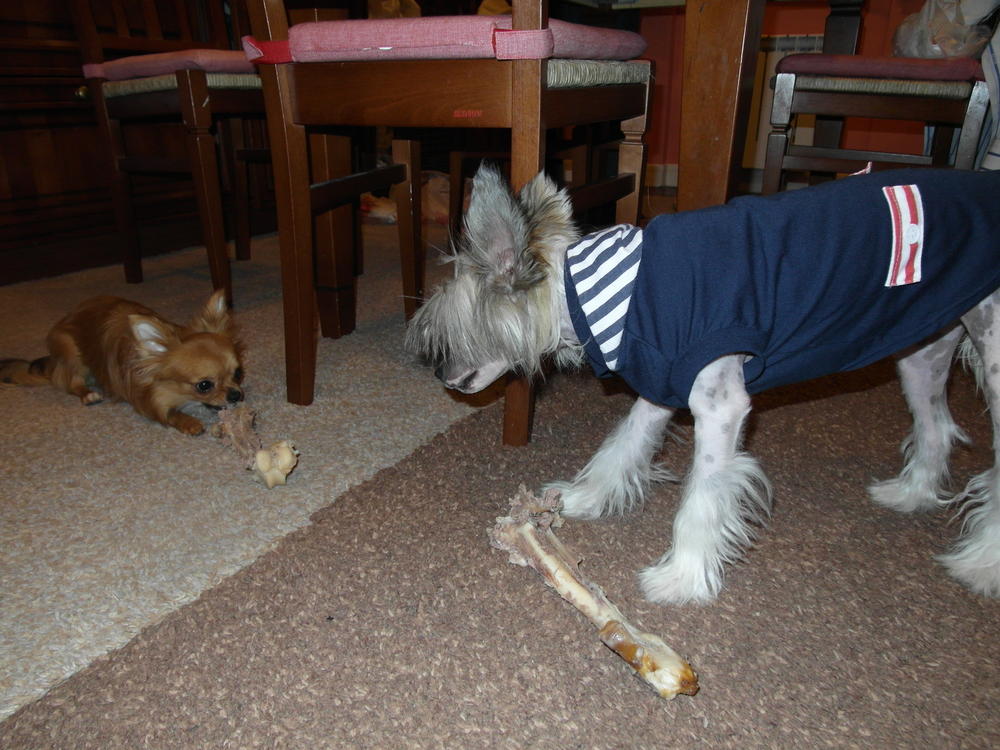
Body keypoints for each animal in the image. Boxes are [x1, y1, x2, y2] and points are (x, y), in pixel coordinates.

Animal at [0, 290, 244, 435]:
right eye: (204, 385)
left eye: (238, 373)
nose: (237, 395)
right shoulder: (144, 400)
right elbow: (169, 414)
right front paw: (188, 422)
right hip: (70, 352)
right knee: (71, 382)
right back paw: (88, 394)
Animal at [406, 164, 1000, 604]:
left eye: (446, 332)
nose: (439, 377)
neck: (608, 293)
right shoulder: (659, 383)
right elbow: (623, 445)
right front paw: (583, 499)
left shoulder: (720, 407)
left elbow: (700, 500)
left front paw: (683, 578)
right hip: (923, 348)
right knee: (937, 427)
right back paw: (912, 495)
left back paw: (980, 566)